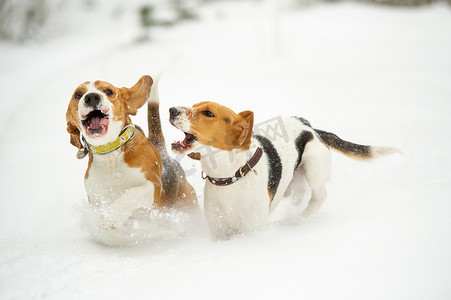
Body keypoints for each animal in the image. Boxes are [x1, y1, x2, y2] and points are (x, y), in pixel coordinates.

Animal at [66, 75, 197, 230]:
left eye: (109, 91)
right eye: (78, 95)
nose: (91, 97)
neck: (111, 155)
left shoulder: (154, 186)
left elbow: (133, 192)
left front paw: (112, 216)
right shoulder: (96, 199)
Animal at [170, 102, 400, 240]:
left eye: (208, 113)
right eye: (194, 105)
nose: (172, 110)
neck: (230, 177)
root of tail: (310, 127)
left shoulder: (253, 230)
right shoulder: (219, 232)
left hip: (314, 164)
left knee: (319, 196)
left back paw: (298, 219)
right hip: (294, 183)